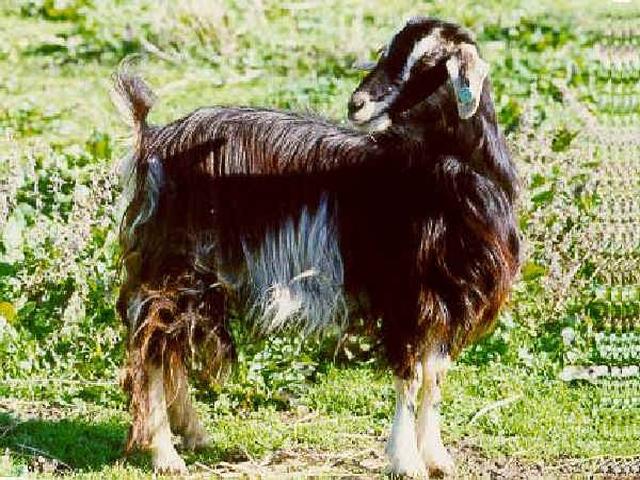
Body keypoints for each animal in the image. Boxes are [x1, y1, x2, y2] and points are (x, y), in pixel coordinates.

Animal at [113, 16, 520, 477]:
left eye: (430, 65)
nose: (357, 104)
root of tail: (152, 141)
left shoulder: (450, 298)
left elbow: (434, 377)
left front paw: (437, 457)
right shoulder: (406, 295)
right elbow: (410, 375)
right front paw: (406, 461)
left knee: (172, 346)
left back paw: (194, 435)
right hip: (173, 266)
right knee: (154, 346)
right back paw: (167, 455)